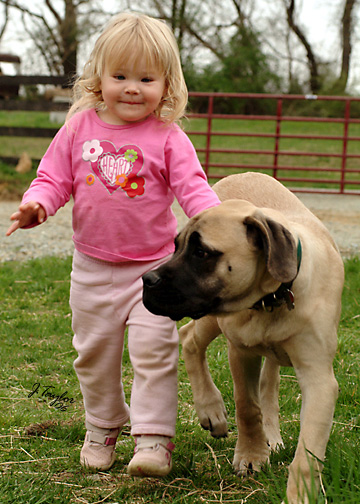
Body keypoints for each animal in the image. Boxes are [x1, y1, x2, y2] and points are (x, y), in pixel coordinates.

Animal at [143, 171, 344, 502]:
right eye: (176, 247)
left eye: (201, 253)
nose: (147, 280)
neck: (272, 297)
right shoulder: (241, 350)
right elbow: (247, 406)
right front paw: (251, 456)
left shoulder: (319, 378)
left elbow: (308, 450)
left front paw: (300, 493)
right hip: (213, 318)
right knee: (190, 339)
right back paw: (210, 409)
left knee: (268, 384)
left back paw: (271, 436)